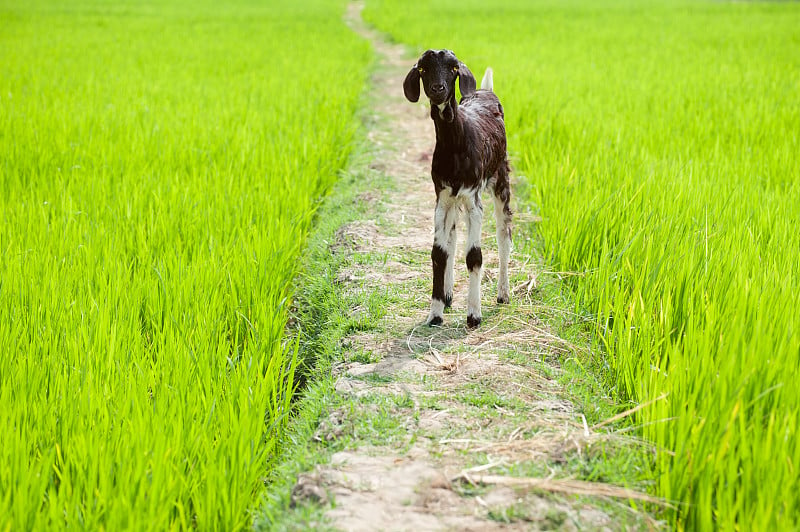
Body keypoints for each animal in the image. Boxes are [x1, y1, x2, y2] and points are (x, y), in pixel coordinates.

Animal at [406, 48, 512, 328]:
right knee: (452, 240)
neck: (456, 143)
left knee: (504, 235)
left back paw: (503, 294)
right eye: (423, 69)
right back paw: (448, 296)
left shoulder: (473, 199)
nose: (438, 89)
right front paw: (435, 313)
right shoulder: (442, 199)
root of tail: (485, 90)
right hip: (453, 203)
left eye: (453, 69)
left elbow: (474, 255)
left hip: (501, 180)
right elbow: (439, 253)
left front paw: (474, 315)